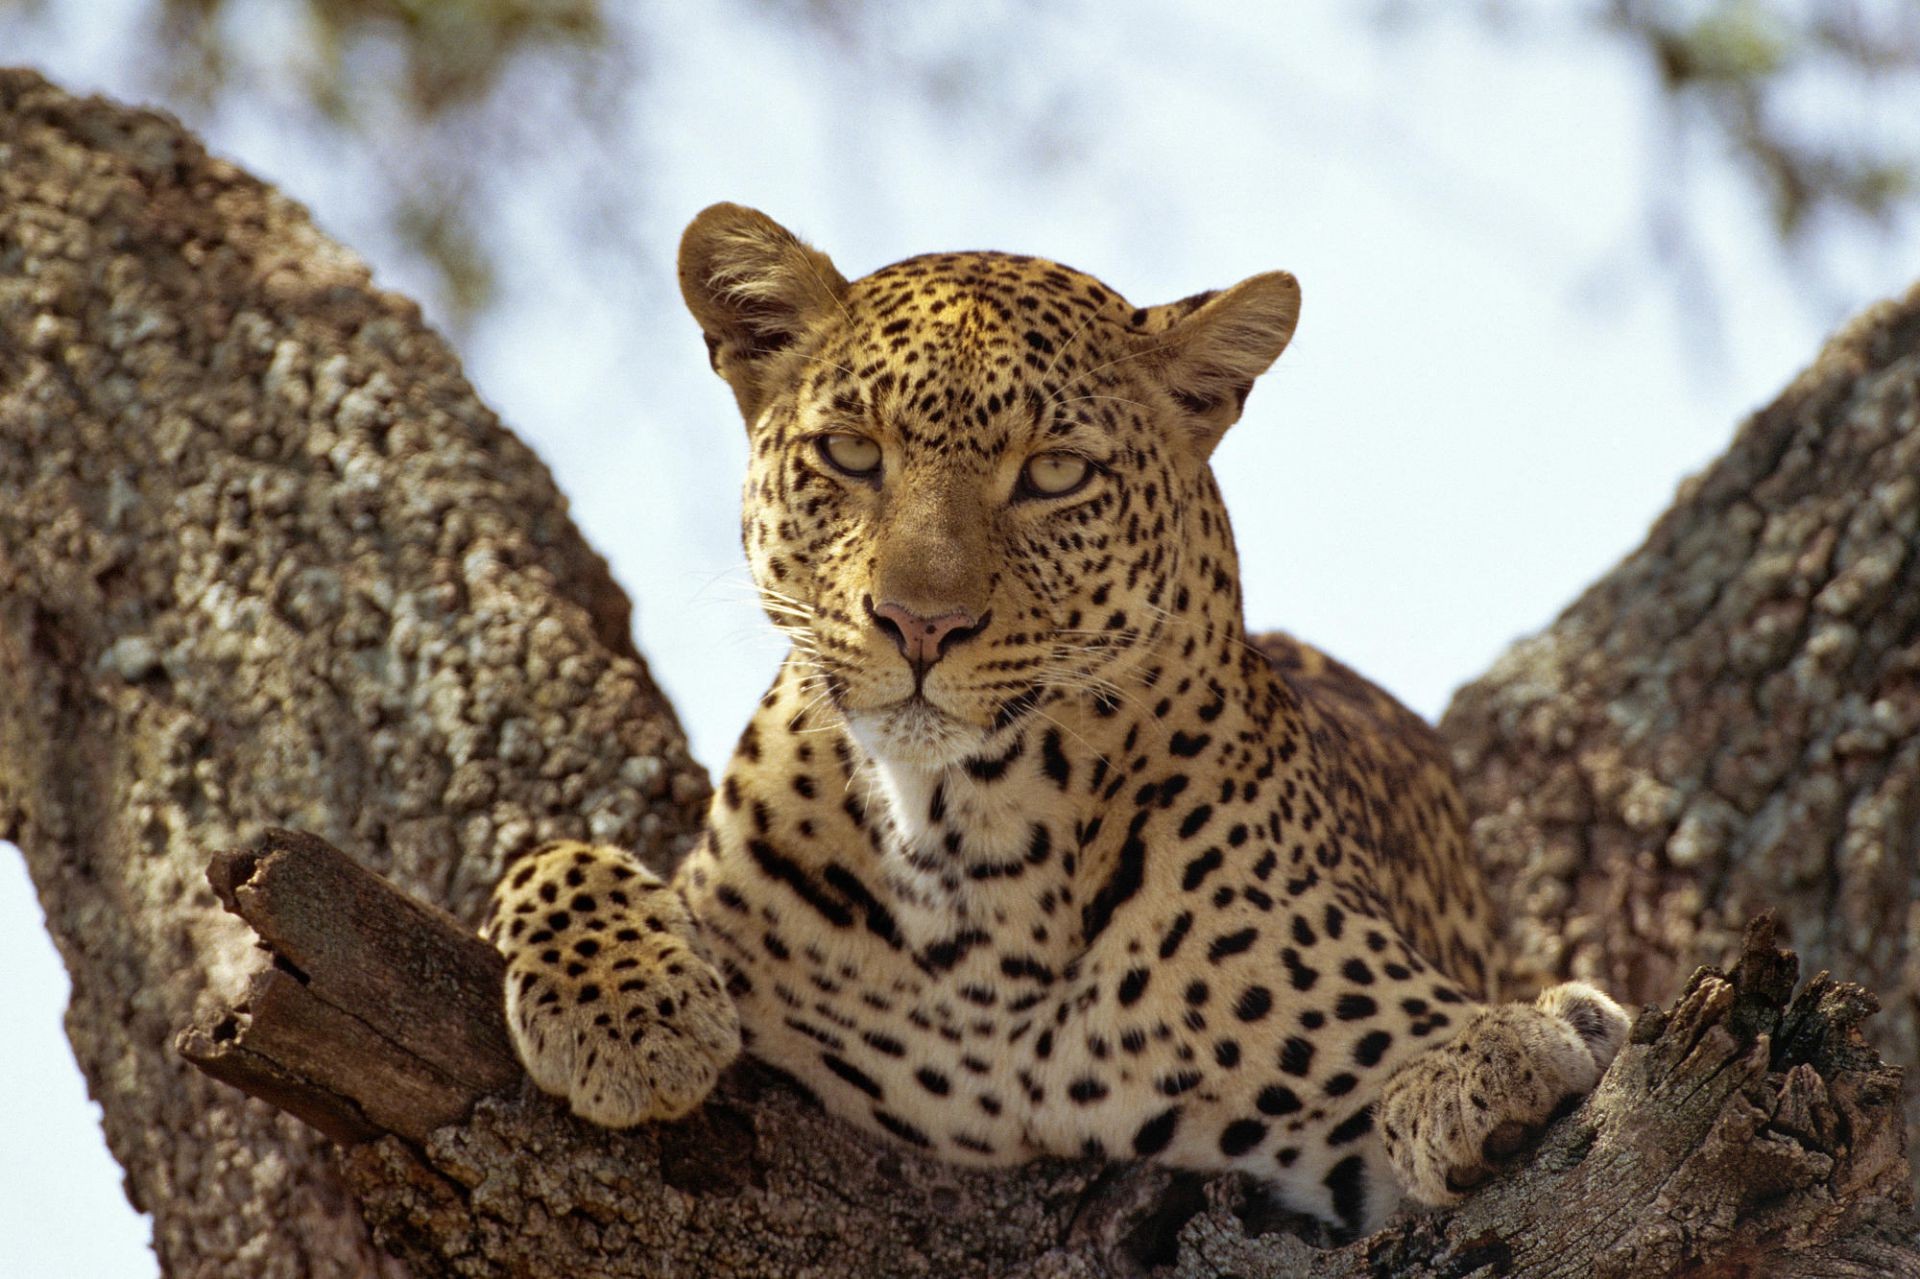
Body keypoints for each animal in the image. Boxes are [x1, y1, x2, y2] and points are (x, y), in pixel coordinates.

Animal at [483, 204, 1635, 1229]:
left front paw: (1505, 1052)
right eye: (852, 453)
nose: (920, 622)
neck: (971, 844)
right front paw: (631, 1015)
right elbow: (549, 856)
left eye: (1053, 473)